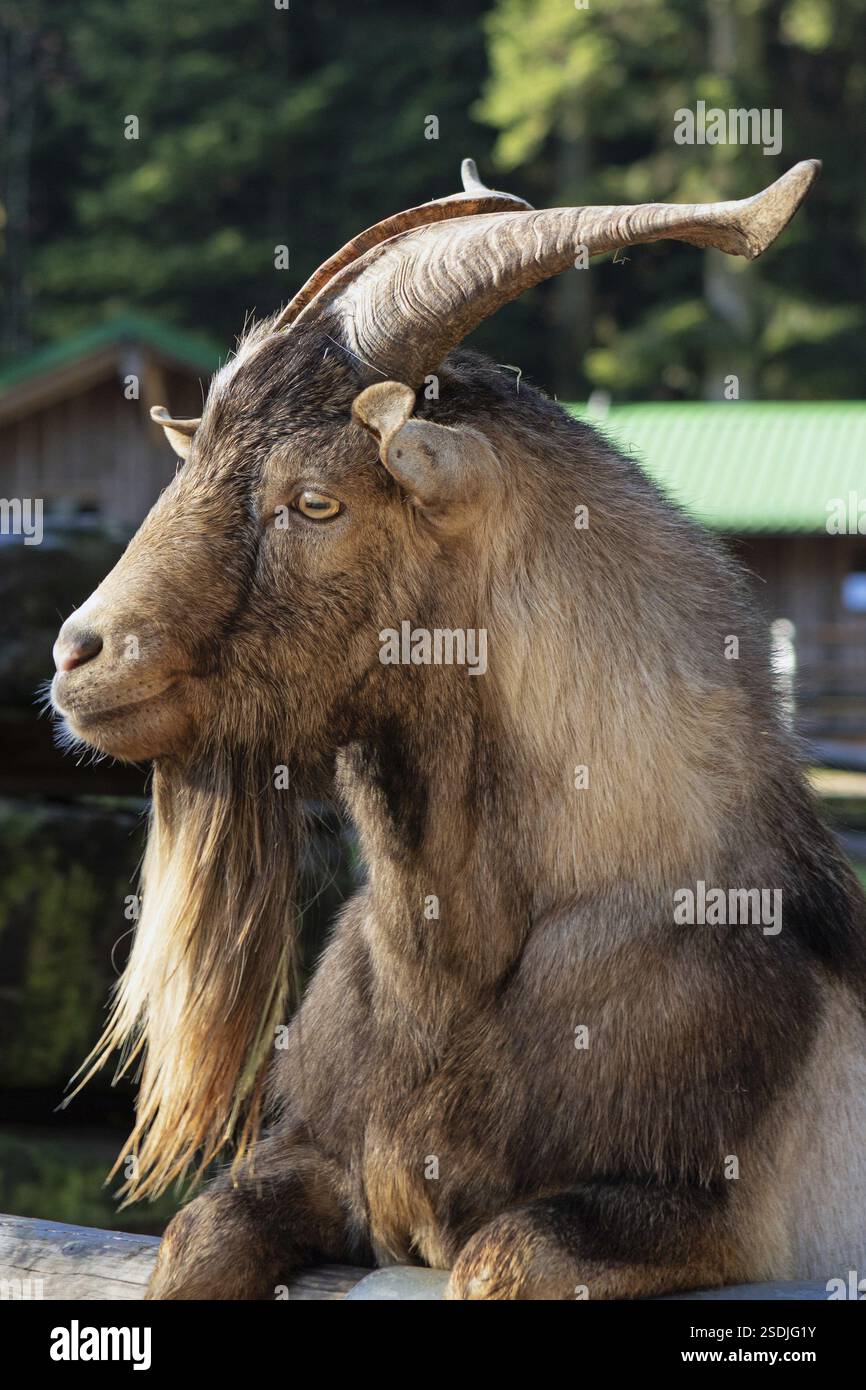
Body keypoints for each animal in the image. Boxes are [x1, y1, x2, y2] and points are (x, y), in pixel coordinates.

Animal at [51, 158, 866, 1300]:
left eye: (315, 502)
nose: (78, 656)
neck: (458, 972)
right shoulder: (322, 1158)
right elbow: (201, 1236)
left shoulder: (716, 1222)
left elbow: (498, 1258)